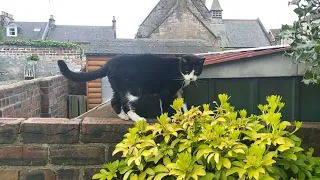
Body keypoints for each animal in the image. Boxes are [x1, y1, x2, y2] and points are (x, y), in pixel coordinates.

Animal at [57, 53, 205, 121]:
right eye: (187, 70)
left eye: (197, 71)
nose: (191, 78)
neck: (178, 70)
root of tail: (109, 63)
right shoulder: (166, 92)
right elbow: (165, 105)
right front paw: (166, 118)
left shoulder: (181, 90)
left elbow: (183, 102)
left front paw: (187, 114)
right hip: (133, 89)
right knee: (127, 104)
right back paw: (137, 118)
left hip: (119, 87)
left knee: (114, 101)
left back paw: (123, 116)